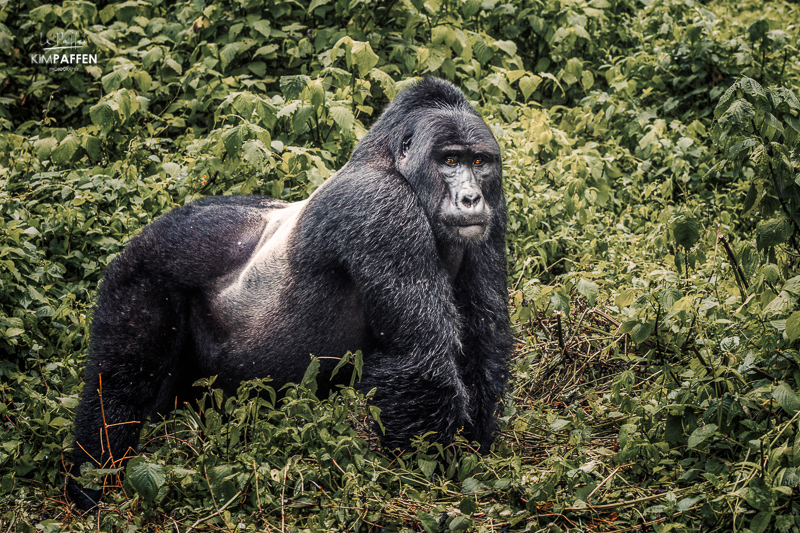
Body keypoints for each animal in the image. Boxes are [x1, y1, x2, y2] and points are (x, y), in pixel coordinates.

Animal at [65, 77, 510, 510]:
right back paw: (93, 479)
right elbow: (420, 359)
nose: (471, 198)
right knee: (120, 387)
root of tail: (149, 229)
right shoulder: (382, 206)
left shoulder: (496, 207)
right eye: (449, 161)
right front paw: (426, 481)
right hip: (144, 267)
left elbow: (483, 340)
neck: (394, 164)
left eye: (479, 163)